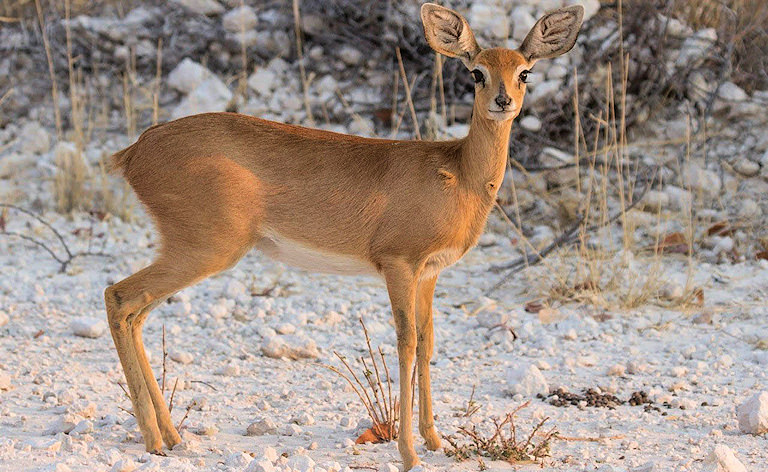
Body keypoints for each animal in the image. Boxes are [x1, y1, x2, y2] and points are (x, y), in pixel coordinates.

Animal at [105, 3, 583, 469]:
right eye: (477, 72)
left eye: (525, 72)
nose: (503, 101)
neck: (458, 173)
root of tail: (134, 151)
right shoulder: (399, 264)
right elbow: (406, 343)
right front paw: (409, 453)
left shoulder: (430, 274)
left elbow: (428, 343)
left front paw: (434, 441)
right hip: (206, 249)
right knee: (119, 296)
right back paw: (154, 440)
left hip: (188, 252)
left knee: (137, 313)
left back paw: (171, 435)